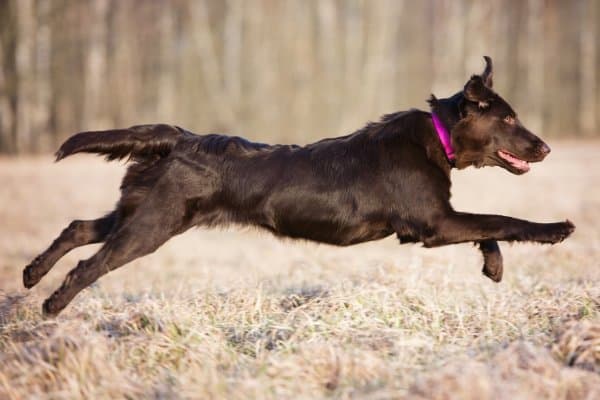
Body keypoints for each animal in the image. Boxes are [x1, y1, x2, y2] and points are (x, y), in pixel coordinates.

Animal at [23, 57, 576, 316]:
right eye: (509, 118)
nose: (547, 148)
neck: (435, 138)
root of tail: (179, 137)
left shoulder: (437, 223)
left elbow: (490, 227)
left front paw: (493, 266)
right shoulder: (433, 223)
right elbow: (502, 219)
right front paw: (555, 230)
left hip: (143, 212)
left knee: (77, 227)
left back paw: (31, 274)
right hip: (152, 225)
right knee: (89, 264)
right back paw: (52, 305)